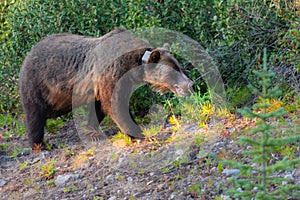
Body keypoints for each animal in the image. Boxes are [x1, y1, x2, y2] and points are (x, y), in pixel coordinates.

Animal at [18, 27, 193, 148]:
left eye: (180, 68)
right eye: (174, 70)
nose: (190, 83)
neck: (134, 65)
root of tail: (29, 52)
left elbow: (100, 107)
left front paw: (92, 132)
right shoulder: (112, 73)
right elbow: (115, 105)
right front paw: (139, 133)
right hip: (37, 83)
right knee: (34, 113)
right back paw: (39, 144)